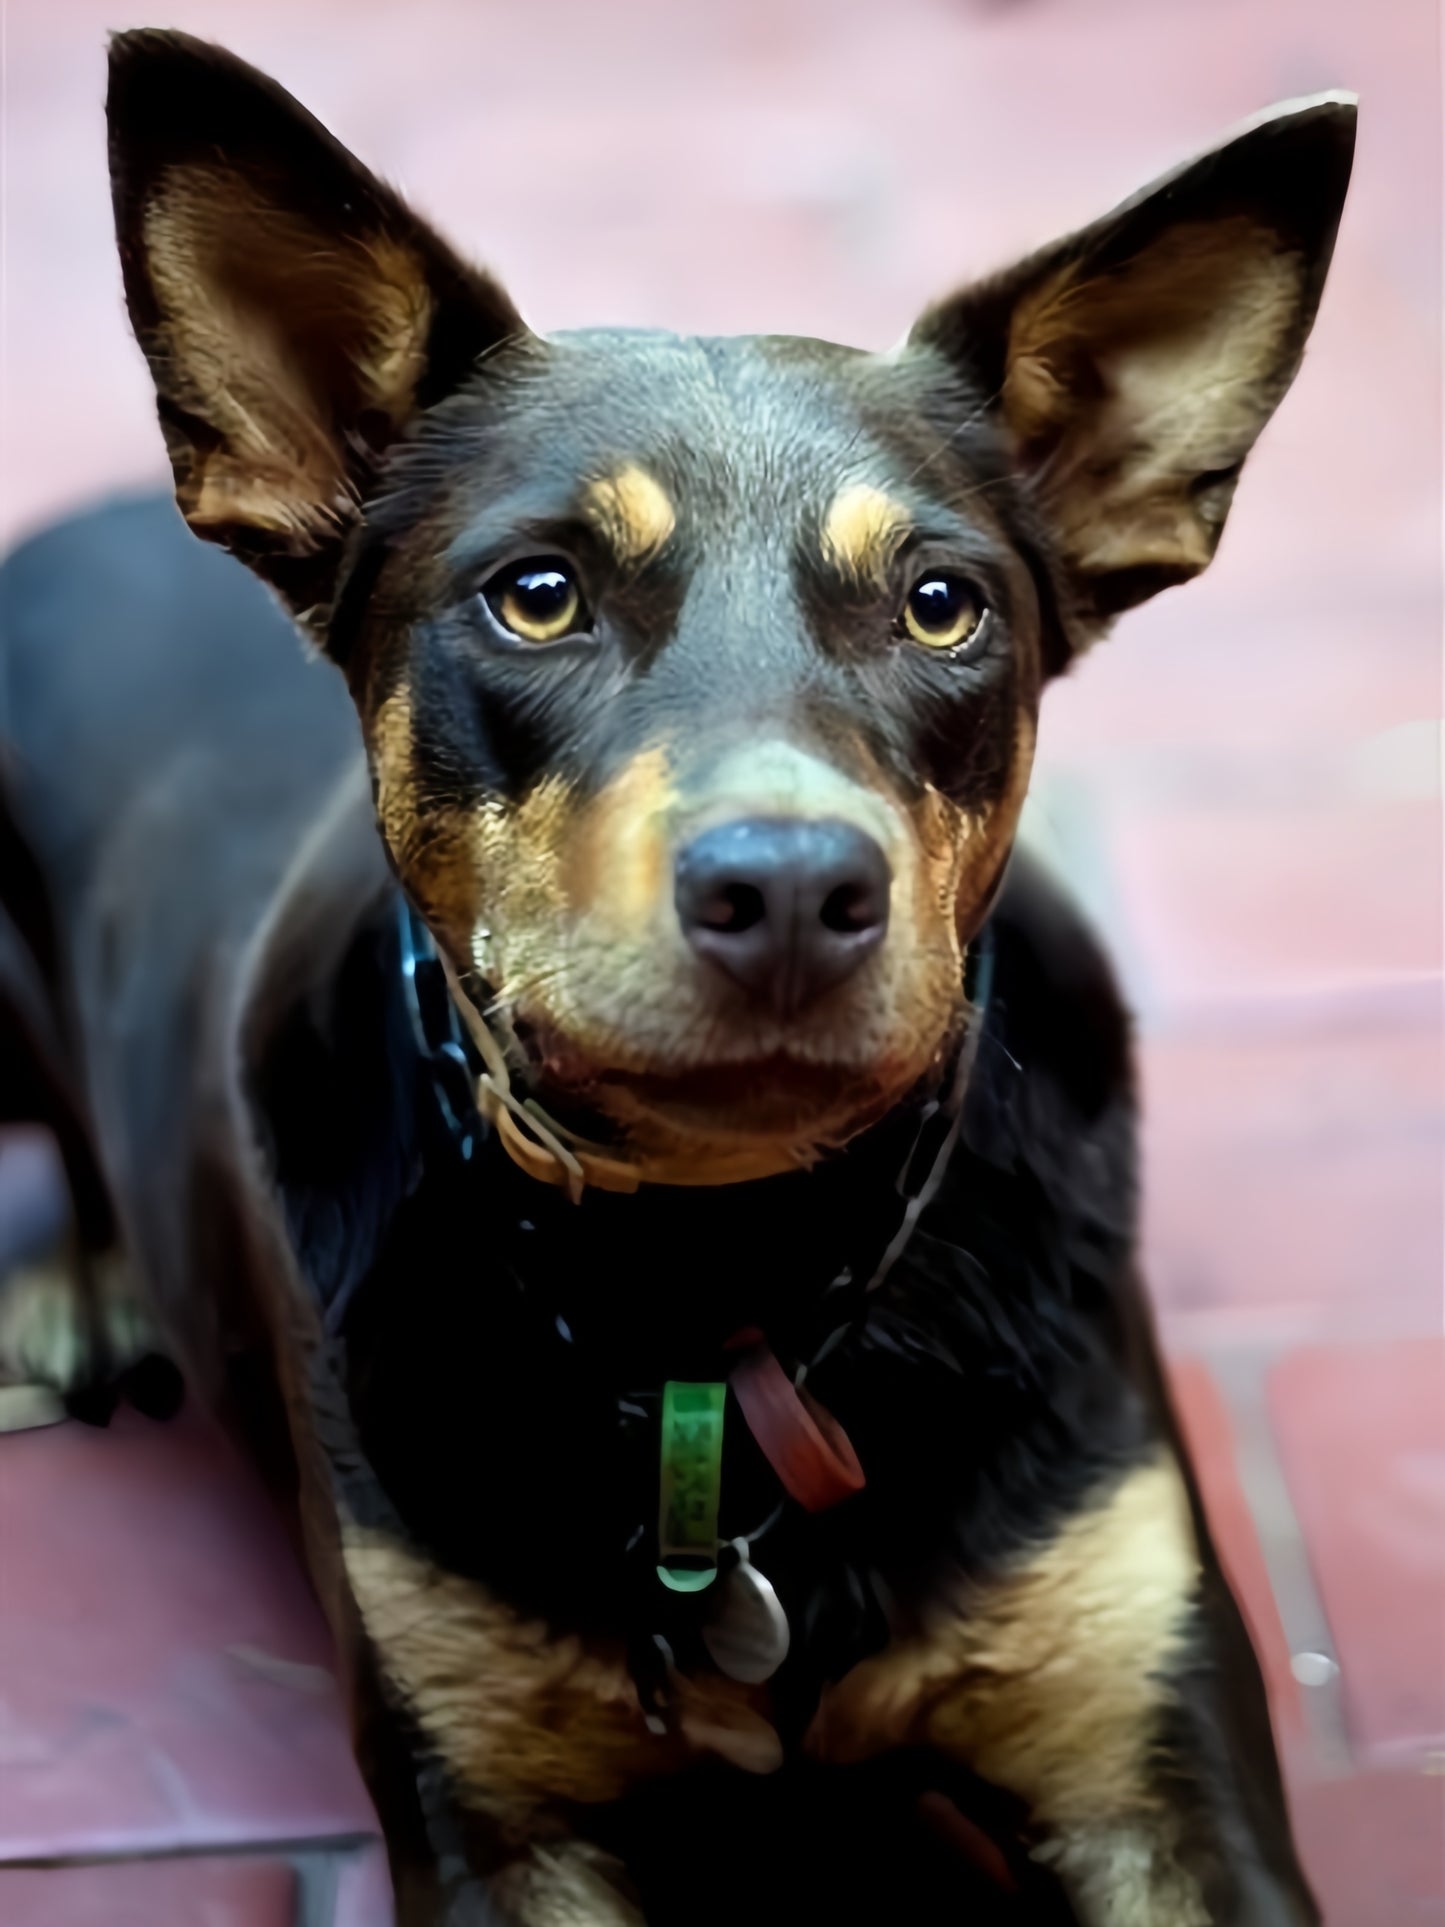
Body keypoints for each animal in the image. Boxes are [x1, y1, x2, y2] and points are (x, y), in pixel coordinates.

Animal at [0, 33, 1356, 1927]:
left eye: (943, 603)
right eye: (538, 593)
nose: (789, 888)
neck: (734, 1285)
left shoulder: (1151, 1750)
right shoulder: (497, 1818)